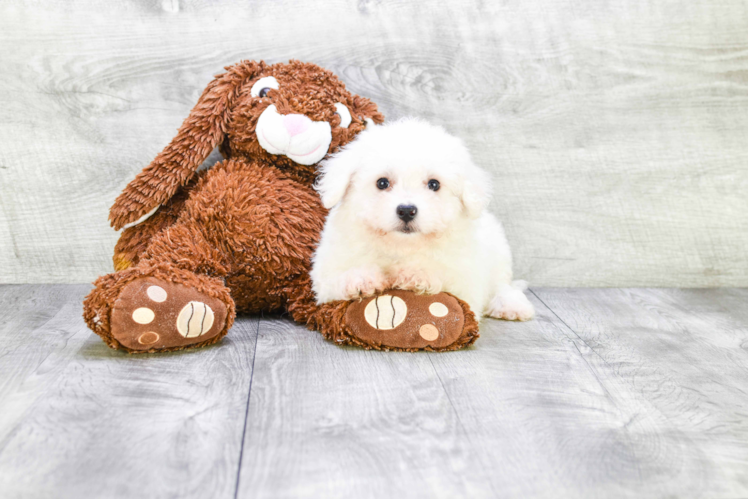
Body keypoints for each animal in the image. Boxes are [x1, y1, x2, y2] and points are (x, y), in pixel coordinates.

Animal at [312, 117, 536, 320]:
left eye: (434, 184)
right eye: (382, 183)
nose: (406, 210)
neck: (401, 246)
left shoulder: (466, 282)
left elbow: (448, 281)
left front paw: (416, 274)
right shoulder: (326, 272)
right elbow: (333, 280)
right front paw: (360, 278)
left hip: (499, 256)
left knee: (502, 285)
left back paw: (510, 305)